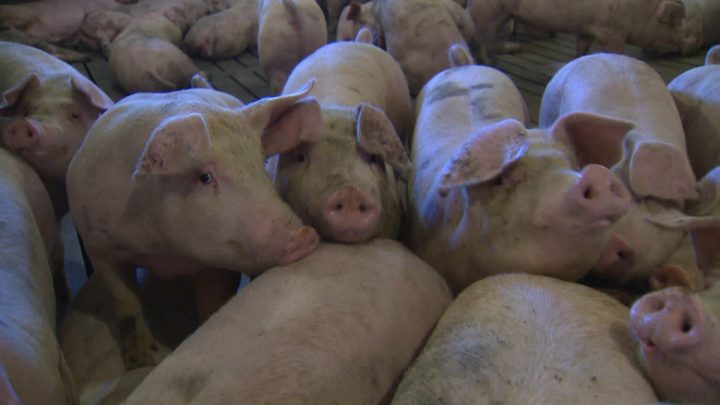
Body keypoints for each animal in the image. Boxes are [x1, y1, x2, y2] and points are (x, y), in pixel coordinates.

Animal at [66, 84, 322, 369]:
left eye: (262, 164)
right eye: (205, 177)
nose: (305, 235)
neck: (163, 251)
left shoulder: (218, 267)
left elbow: (211, 309)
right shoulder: (98, 245)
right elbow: (126, 304)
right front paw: (141, 362)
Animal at [467, 0, 689, 57]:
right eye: (674, 23)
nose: (685, 42)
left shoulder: (586, 27)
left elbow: (582, 46)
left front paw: (580, 58)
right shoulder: (612, 31)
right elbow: (616, 51)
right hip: (491, 10)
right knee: (483, 36)